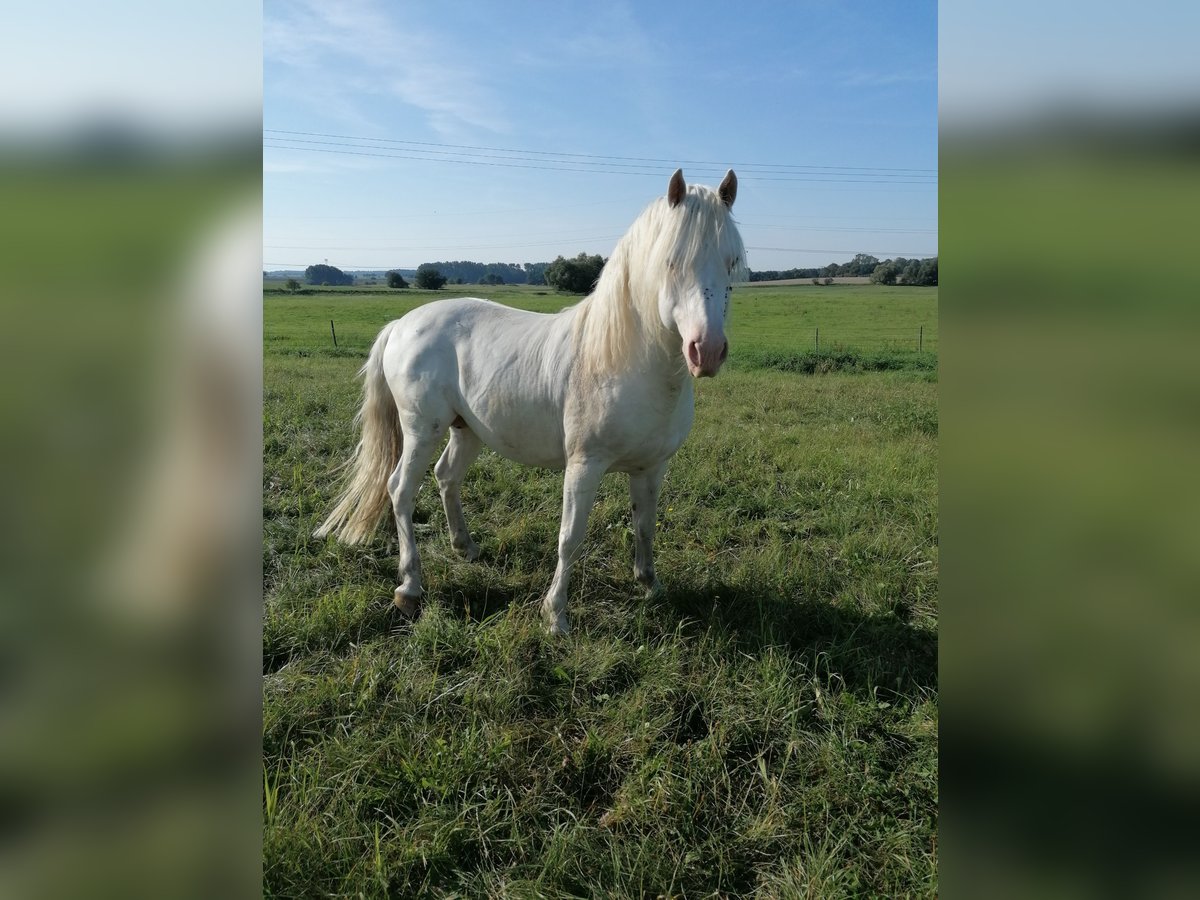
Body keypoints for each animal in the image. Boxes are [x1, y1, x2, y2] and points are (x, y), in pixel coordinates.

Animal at [316, 169, 748, 633]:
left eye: (731, 263)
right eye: (671, 261)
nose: (707, 351)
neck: (624, 360)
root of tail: (402, 324)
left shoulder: (652, 467)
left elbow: (645, 527)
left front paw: (650, 586)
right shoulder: (584, 465)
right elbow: (570, 537)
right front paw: (555, 615)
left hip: (466, 429)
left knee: (446, 476)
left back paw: (465, 547)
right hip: (420, 430)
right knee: (400, 490)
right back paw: (410, 588)